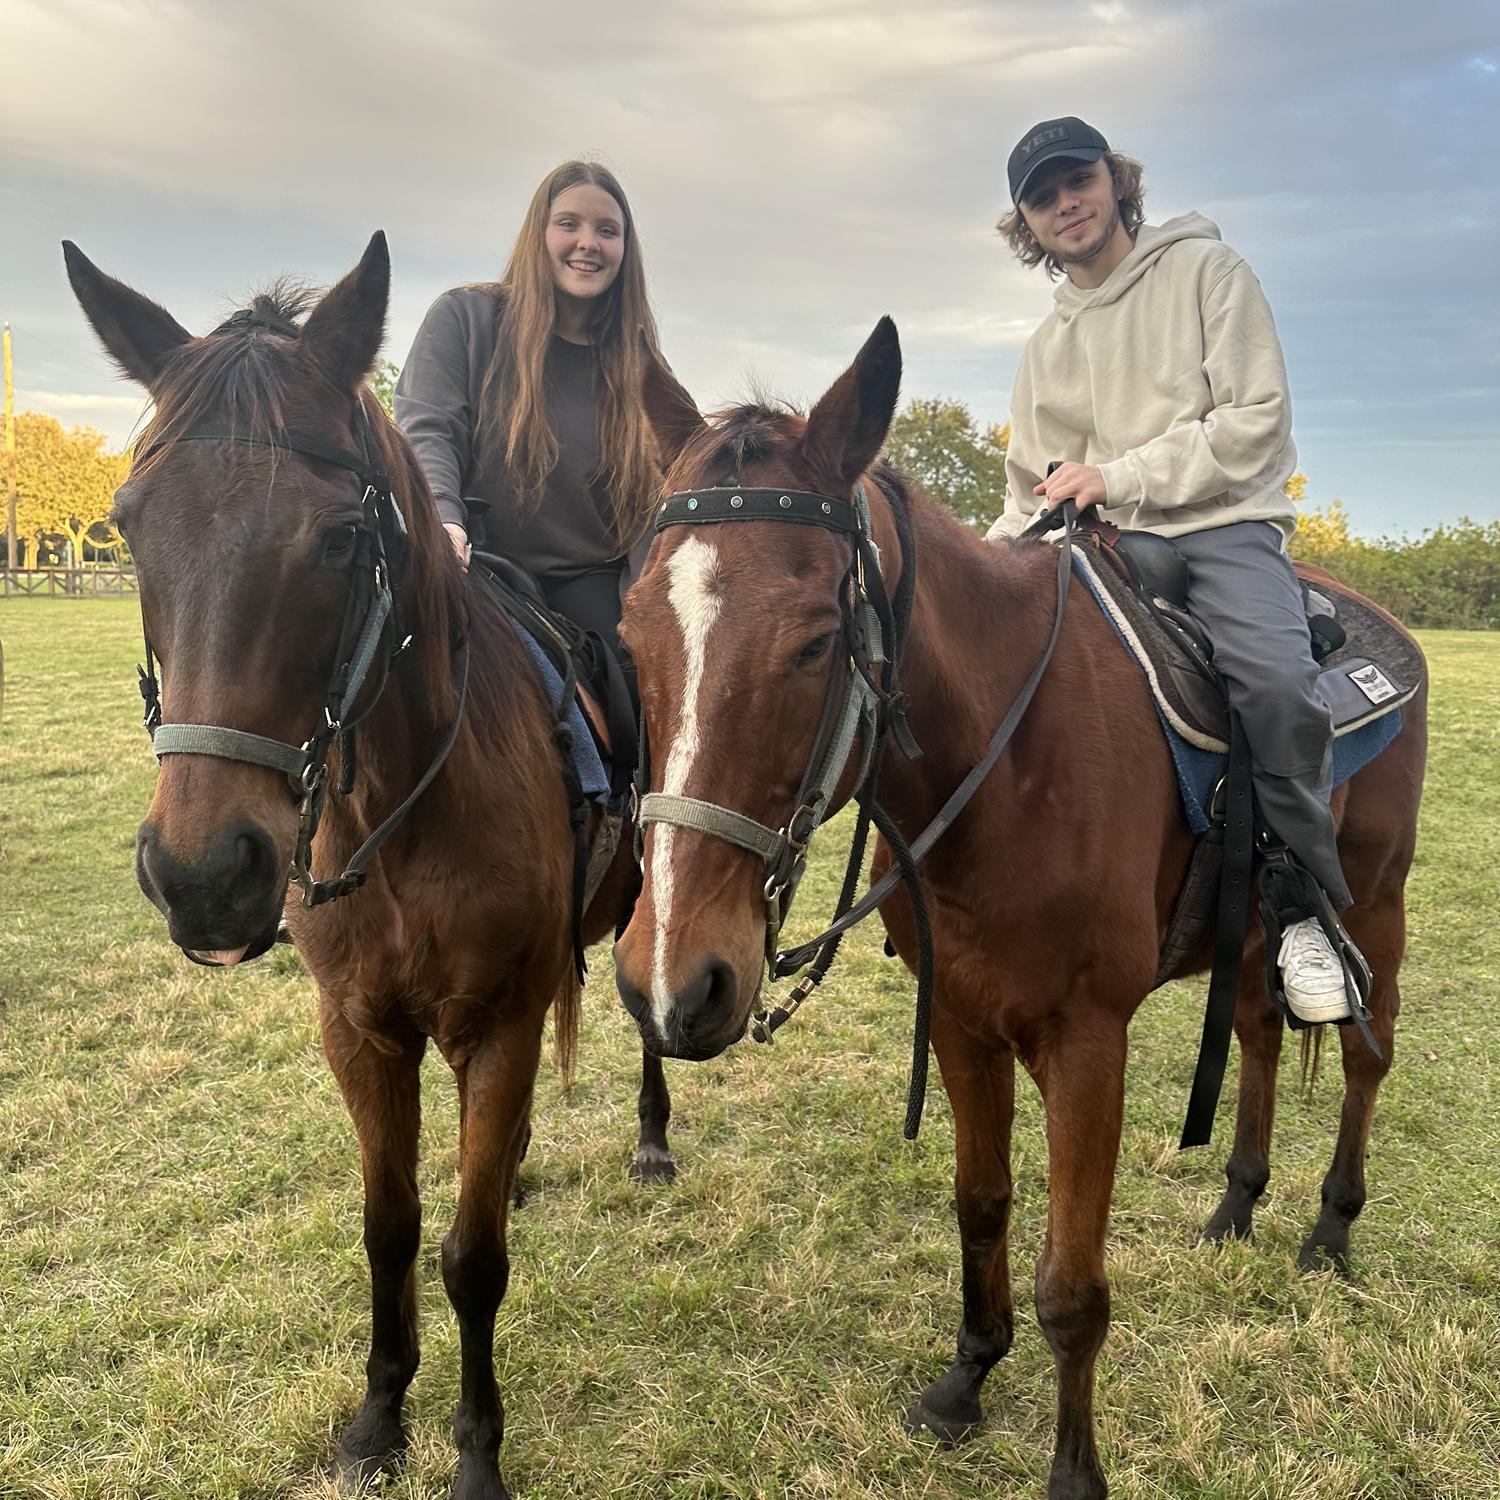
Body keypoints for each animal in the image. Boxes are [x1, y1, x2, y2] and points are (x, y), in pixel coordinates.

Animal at [64, 232, 675, 1499]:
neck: (407, 814)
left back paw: (650, 1139)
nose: (204, 873)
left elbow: (472, 1255)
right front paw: (378, 1416)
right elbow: (389, 1227)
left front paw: (476, 1450)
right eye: (131, 523)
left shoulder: (494, 1026)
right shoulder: (360, 1030)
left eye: (340, 538)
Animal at [612, 318, 1427, 1499]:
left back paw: (1329, 1228)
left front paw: (1075, 1471)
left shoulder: (1086, 1044)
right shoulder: (962, 1019)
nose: (673, 982)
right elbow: (982, 1204)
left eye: (814, 641)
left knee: (1366, 1054)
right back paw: (1237, 1204)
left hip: (1377, 901)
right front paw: (966, 1378)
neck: (1007, 765)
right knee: (1260, 1034)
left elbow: (1073, 1287)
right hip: (1251, 929)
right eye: (630, 636)